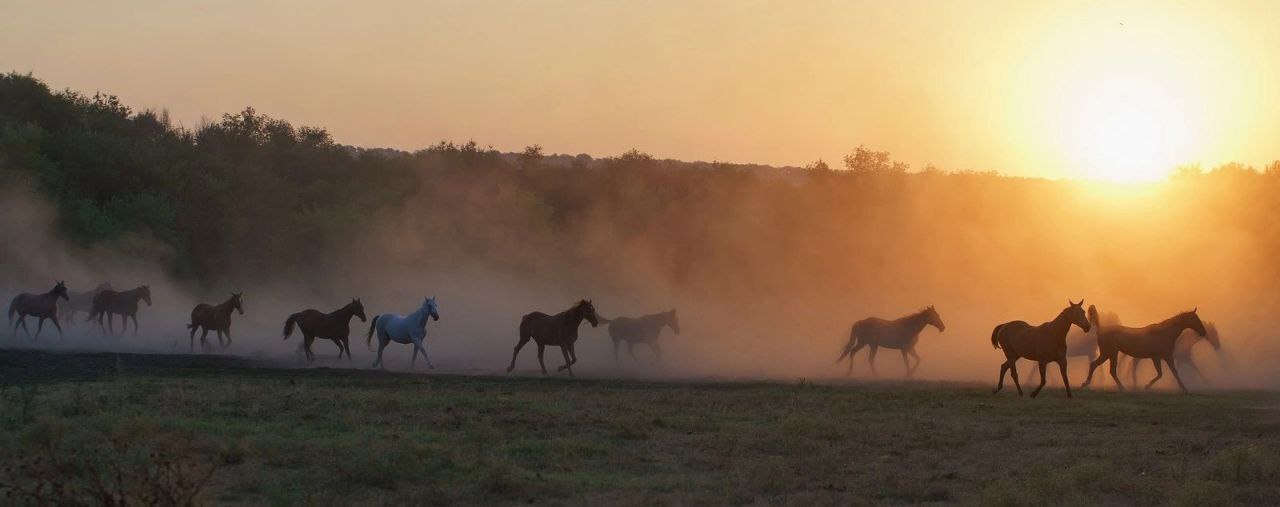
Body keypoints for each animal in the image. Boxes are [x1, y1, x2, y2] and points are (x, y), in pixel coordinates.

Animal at [1080, 304, 1208, 391]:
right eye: (1195, 319)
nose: (1204, 332)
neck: (1164, 333)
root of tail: (1100, 330)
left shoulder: (1161, 357)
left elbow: (1166, 373)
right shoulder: (1162, 357)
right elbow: (1168, 373)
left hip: (1112, 354)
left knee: (1111, 371)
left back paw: (1121, 387)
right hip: (1107, 353)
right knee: (1095, 365)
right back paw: (1086, 383)